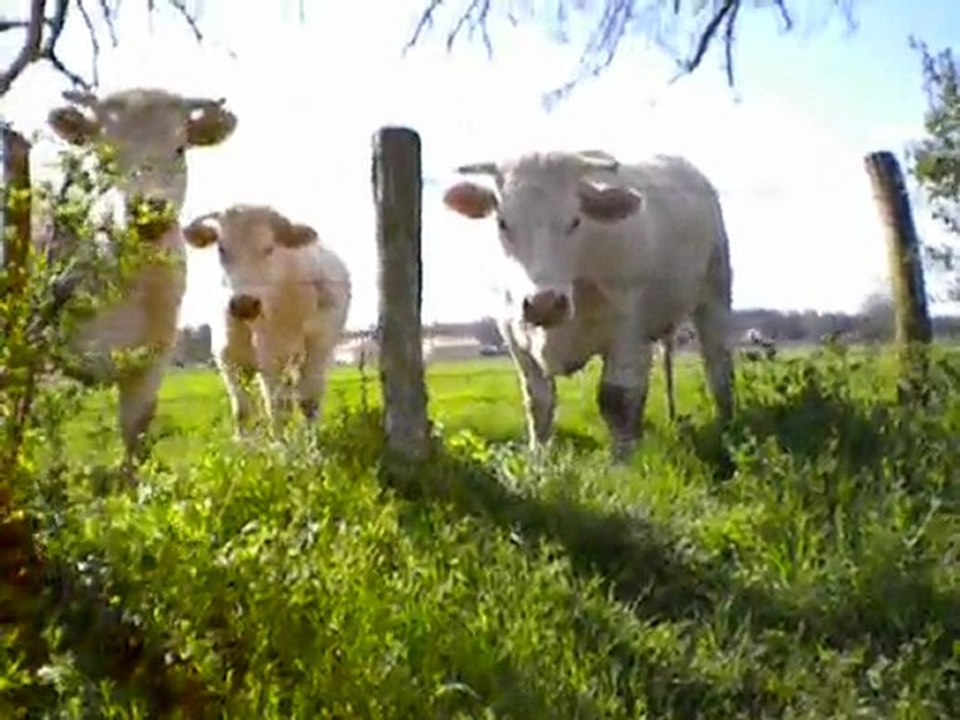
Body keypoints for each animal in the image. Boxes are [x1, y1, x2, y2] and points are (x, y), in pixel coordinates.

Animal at [181, 204, 351, 438]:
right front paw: (244, 443)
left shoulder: (292, 353)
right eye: (222, 249)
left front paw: (287, 444)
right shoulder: (229, 358)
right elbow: (242, 409)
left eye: (269, 248)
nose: (244, 303)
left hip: (317, 353)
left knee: (306, 398)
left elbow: (287, 405)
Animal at [442, 150, 735, 462]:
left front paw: (623, 463)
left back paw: (725, 422)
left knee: (718, 366)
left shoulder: (628, 334)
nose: (544, 304)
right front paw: (539, 460)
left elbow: (617, 400)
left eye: (575, 221)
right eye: (503, 223)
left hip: (715, 291)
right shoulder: (513, 335)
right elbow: (538, 401)